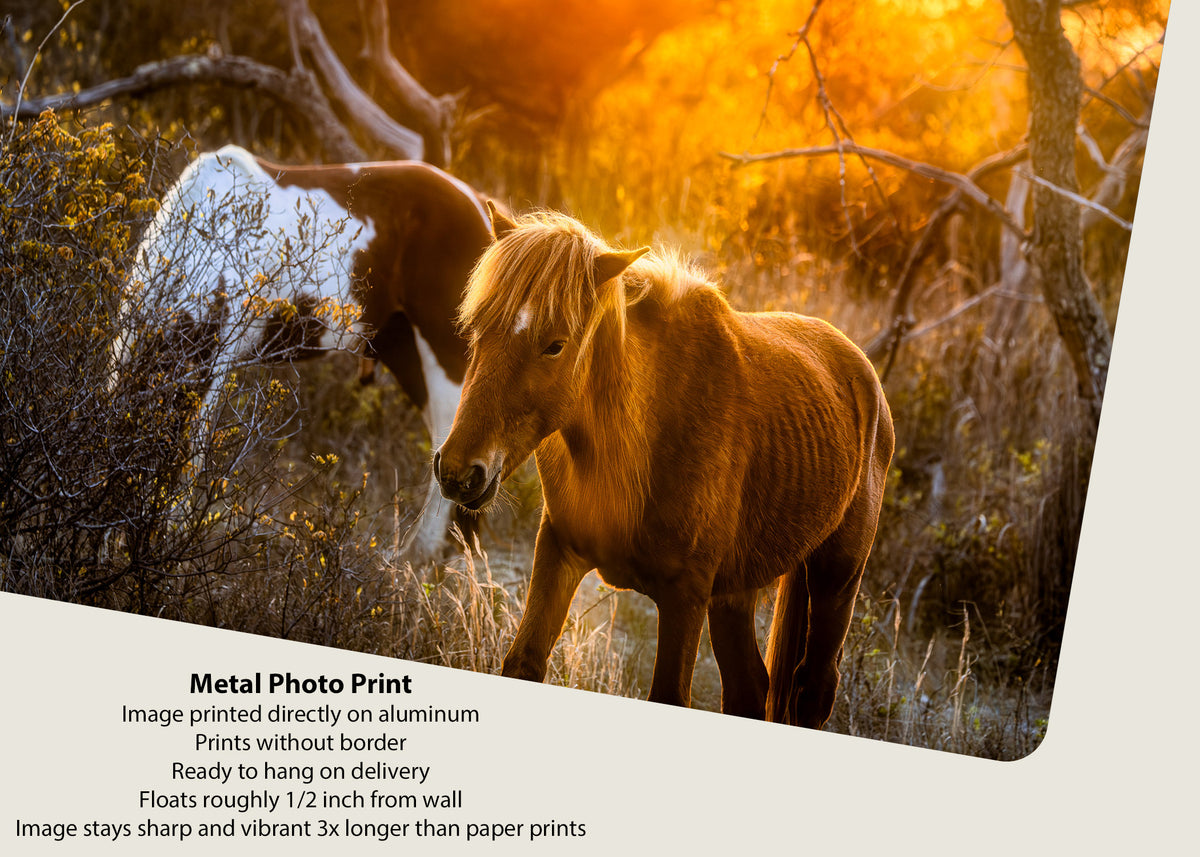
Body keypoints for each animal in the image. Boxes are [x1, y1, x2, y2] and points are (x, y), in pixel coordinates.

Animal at [118, 145, 492, 556]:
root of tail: (481, 206)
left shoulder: (211, 371)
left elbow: (190, 458)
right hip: (404, 349)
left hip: (445, 356)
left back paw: (421, 555)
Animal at [434, 206, 894, 727]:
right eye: (478, 327)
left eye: (555, 345)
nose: (458, 472)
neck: (636, 443)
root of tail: (861, 369)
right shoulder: (559, 553)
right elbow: (523, 664)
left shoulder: (685, 597)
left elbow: (670, 695)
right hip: (735, 595)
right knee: (750, 690)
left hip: (836, 580)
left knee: (814, 688)